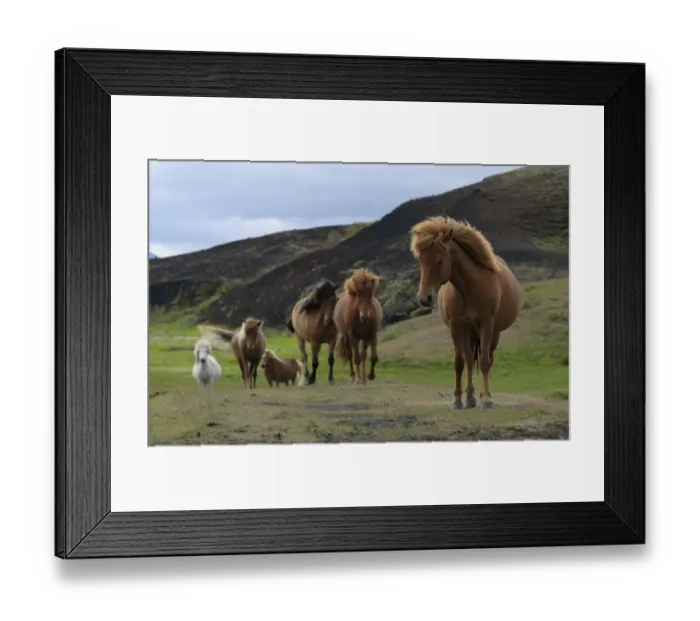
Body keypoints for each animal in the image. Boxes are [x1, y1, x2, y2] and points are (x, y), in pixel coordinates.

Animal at [409, 215, 523, 410]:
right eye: (421, 261)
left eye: (440, 260)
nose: (424, 298)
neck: (470, 288)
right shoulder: (457, 326)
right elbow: (459, 363)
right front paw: (457, 399)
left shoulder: (487, 324)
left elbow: (484, 362)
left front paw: (487, 399)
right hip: (468, 333)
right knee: (469, 360)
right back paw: (470, 397)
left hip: (494, 334)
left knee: (489, 358)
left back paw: (483, 394)